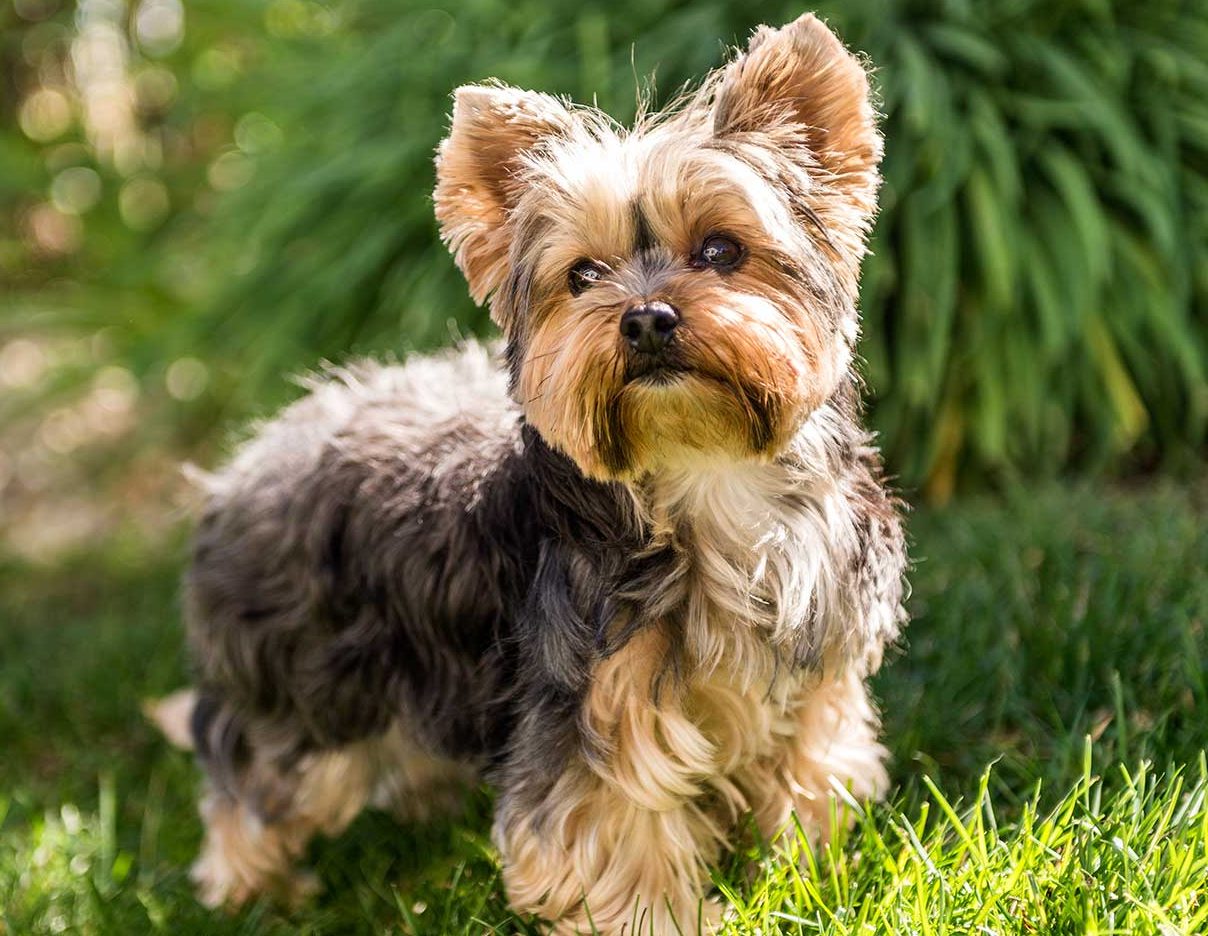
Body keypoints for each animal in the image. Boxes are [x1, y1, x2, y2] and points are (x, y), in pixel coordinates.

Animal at [148, 12, 908, 927]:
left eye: (722, 250)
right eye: (582, 276)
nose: (645, 320)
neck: (704, 471)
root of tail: (248, 460)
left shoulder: (815, 666)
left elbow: (810, 767)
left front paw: (808, 873)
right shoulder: (590, 701)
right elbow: (617, 828)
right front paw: (662, 920)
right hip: (304, 676)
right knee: (253, 766)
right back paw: (249, 887)